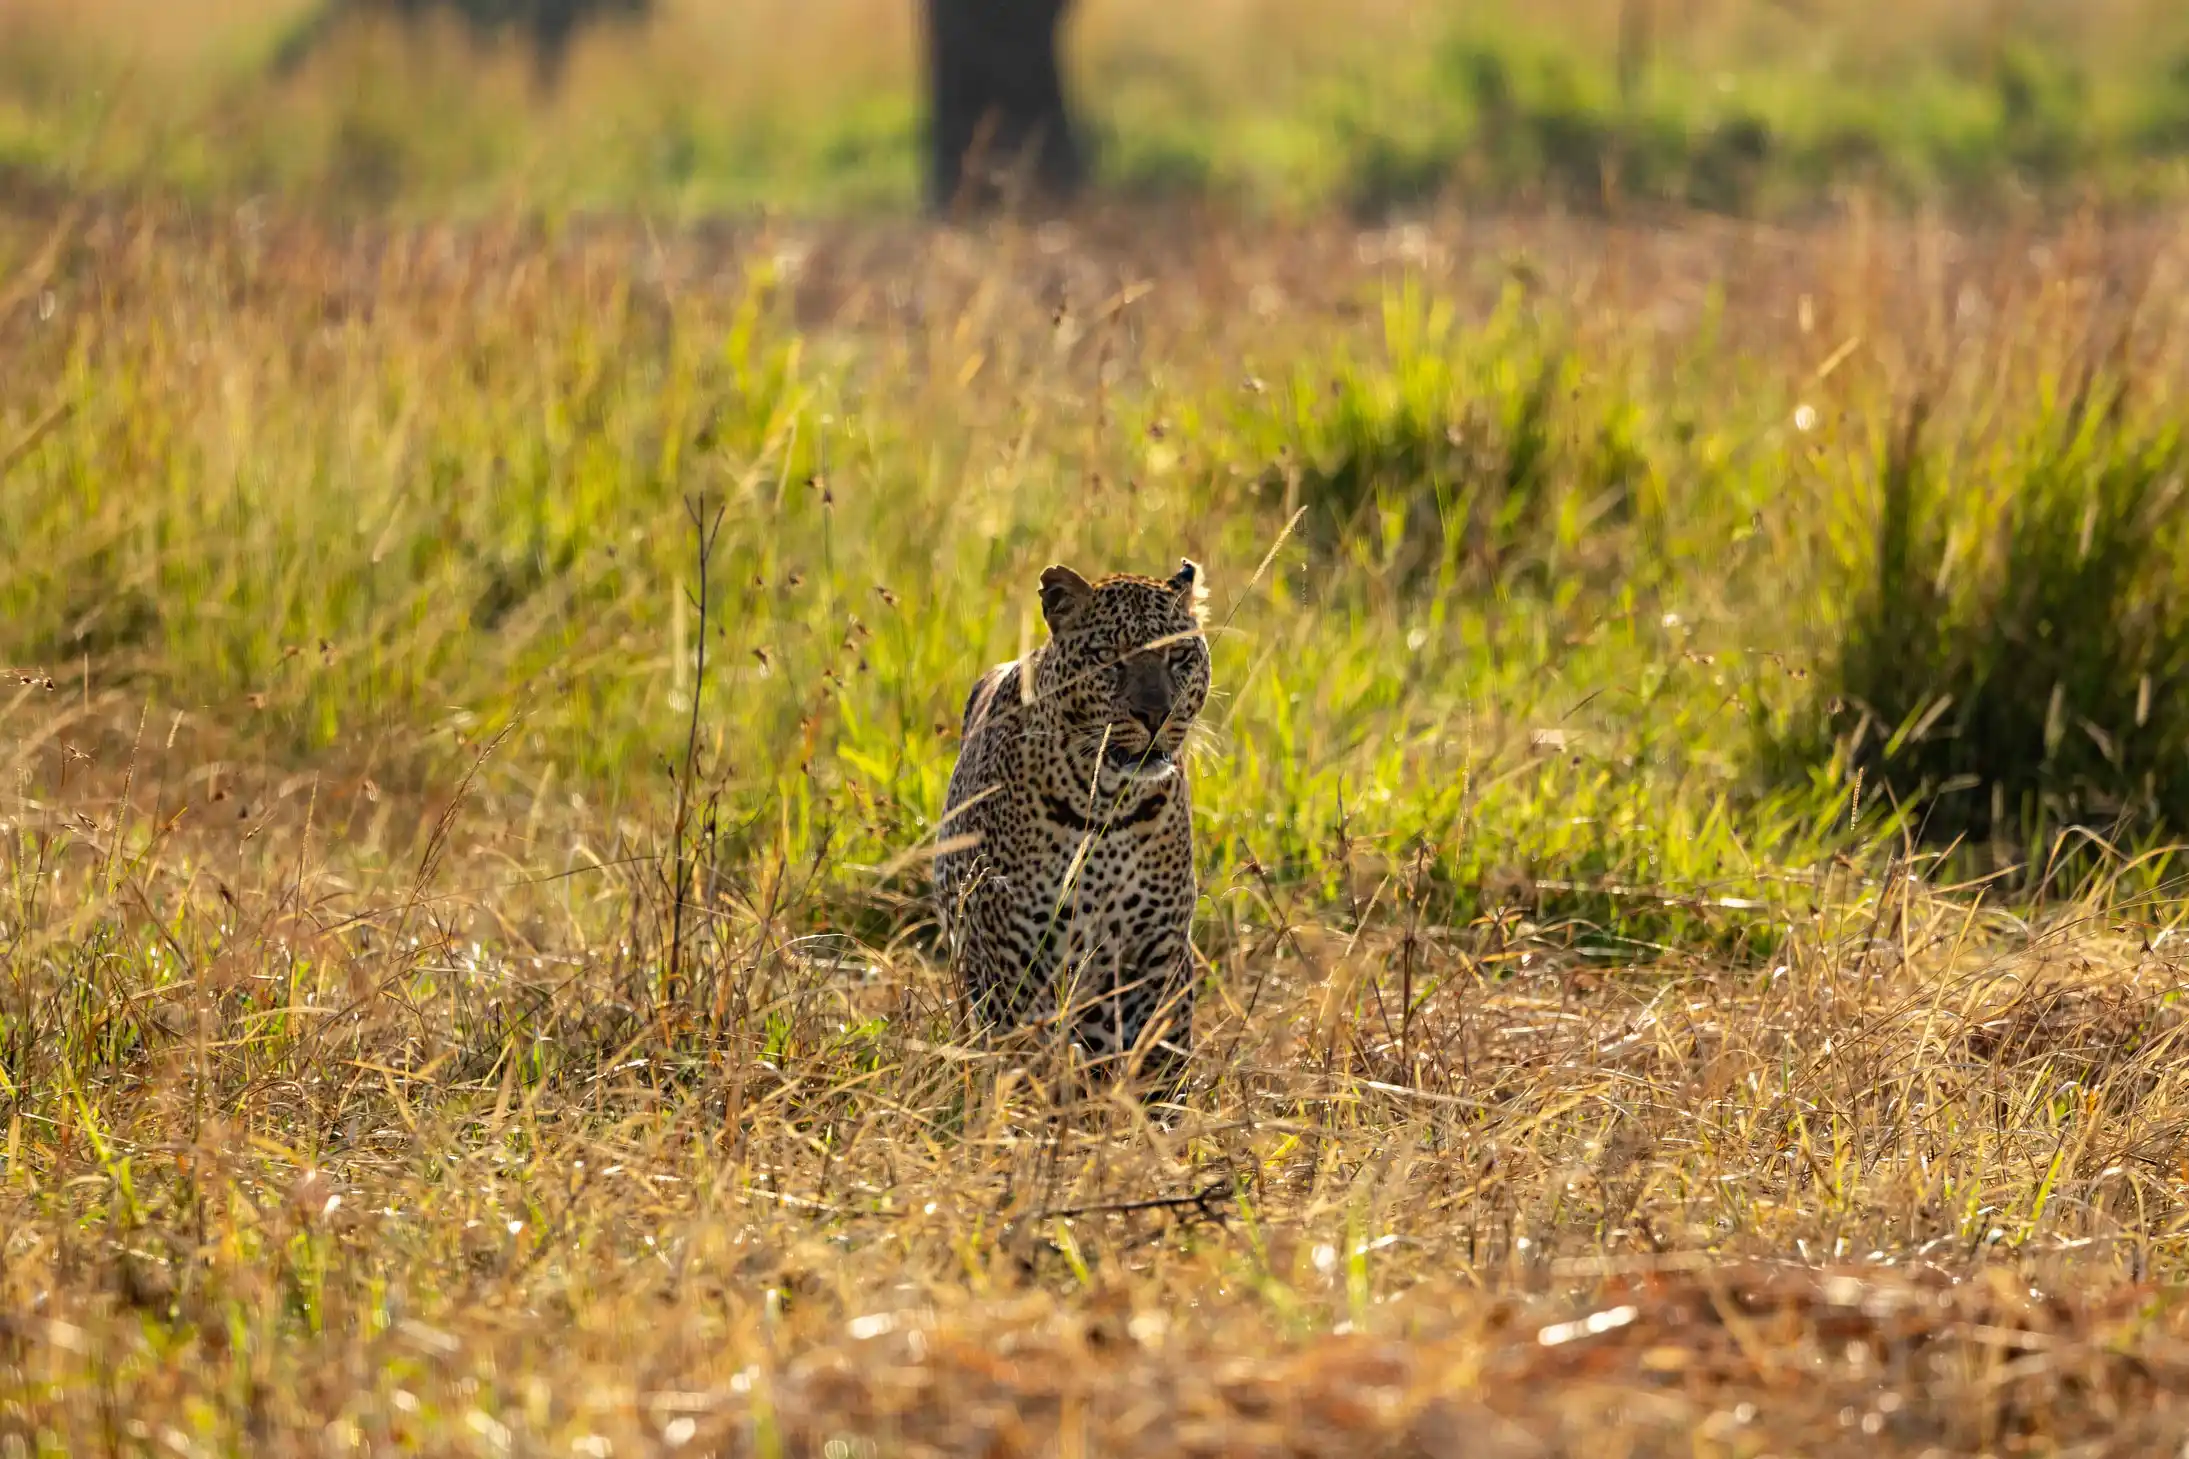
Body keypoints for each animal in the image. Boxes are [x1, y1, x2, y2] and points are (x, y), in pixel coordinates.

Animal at [932, 559, 1217, 1093]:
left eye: (1179, 656)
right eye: (1108, 657)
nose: (1156, 715)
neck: (1108, 803)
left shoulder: (1158, 951)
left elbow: (1160, 1052)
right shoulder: (1012, 955)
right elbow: (1025, 1055)